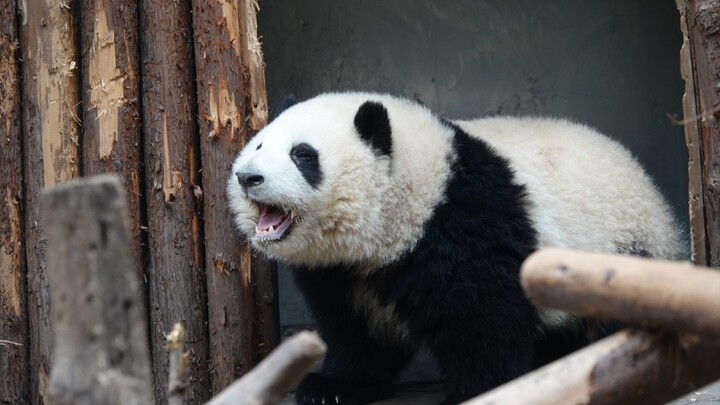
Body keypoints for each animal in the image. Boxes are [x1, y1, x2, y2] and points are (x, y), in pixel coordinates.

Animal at [228, 92, 684, 404]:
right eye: (259, 145)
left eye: (302, 154)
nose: (248, 177)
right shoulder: (340, 271)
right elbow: (352, 330)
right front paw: (332, 386)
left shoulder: (464, 223)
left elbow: (484, 319)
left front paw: (478, 391)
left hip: (620, 245)